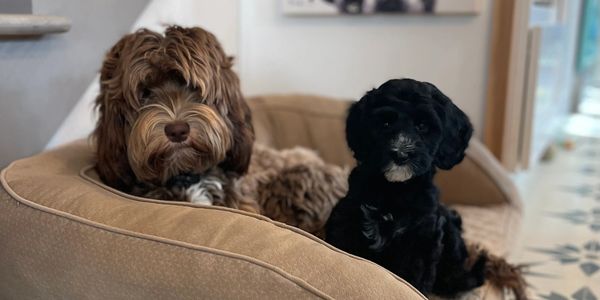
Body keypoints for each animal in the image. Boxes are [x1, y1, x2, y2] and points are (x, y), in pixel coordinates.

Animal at [326, 78, 490, 296]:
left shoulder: (421, 240)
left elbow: (413, 279)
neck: (395, 190)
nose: (400, 154)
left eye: (422, 126)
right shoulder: (347, 219)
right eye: (385, 123)